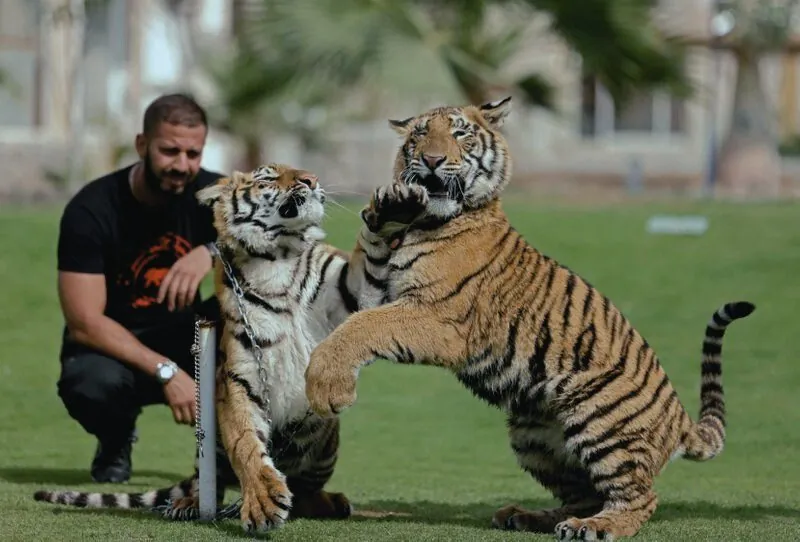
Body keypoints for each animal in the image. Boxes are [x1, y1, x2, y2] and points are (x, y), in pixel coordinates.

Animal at [34, 163, 395, 534]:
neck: (278, 254)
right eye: (267, 177)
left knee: (306, 491)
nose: (312, 179)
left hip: (326, 440)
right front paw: (263, 502)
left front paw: (388, 207)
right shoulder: (241, 374)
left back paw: (333, 502)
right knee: (209, 480)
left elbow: (372, 264)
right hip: (209, 443)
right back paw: (189, 504)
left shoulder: (354, 289)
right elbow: (247, 445)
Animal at [303, 97, 756, 541]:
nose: (431, 160)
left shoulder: (439, 319)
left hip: (598, 417)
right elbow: (362, 284)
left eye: (460, 134)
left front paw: (328, 389)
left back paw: (595, 528)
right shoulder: (371, 291)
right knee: (585, 494)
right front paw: (389, 204)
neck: (425, 222)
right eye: (419, 134)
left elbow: (361, 328)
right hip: (532, 435)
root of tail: (680, 419)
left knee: (639, 497)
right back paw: (529, 517)